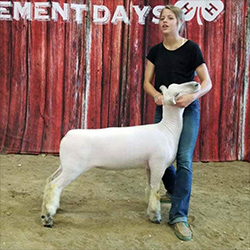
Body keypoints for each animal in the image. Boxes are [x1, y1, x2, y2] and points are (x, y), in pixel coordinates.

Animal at [41, 81, 201, 227]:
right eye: (177, 93)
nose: (196, 84)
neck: (167, 129)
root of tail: (67, 136)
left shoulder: (149, 166)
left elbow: (150, 188)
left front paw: (150, 211)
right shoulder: (158, 165)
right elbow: (155, 191)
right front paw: (155, 216)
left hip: (65, 165)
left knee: (50, 180)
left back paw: (48, 211)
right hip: (73, 168)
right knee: (55, 185)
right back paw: (48, 218)